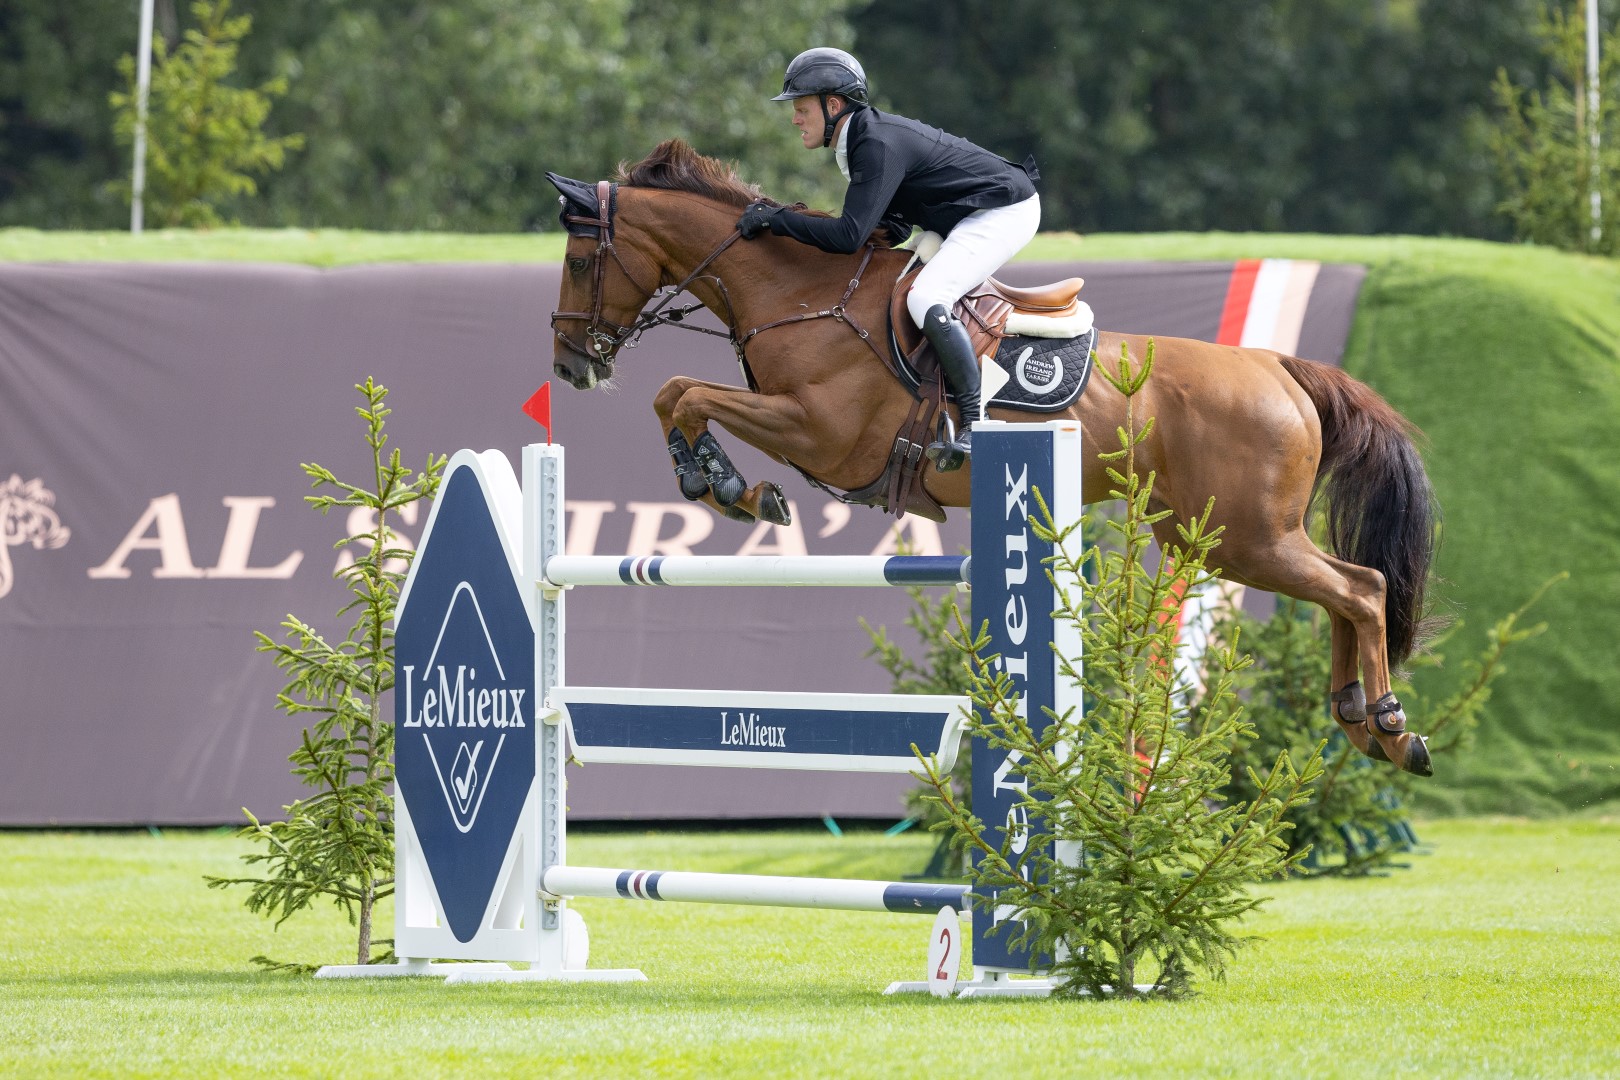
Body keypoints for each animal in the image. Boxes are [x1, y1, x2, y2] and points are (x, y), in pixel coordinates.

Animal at [545, 139, 1438, 777]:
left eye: (581, 260)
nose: (571, 366)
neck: (802, 294)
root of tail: (1279, 368)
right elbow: (675, 393)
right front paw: (715, 479)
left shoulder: (817, 431)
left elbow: (689, 393)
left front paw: (731, 485)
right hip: (1221, 535)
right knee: (1345, 591)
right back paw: (1355, 716)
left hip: (1243, 538)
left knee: (1361, 588)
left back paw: (1393, 730)